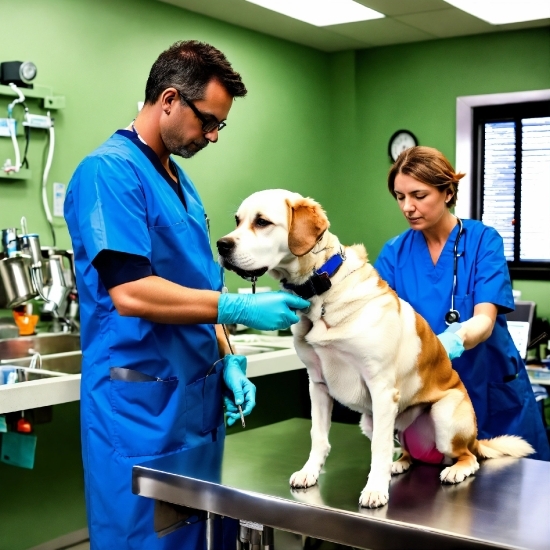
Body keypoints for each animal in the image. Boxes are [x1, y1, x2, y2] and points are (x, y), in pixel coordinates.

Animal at [217, 189, 536, 508]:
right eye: (237, 220)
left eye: (262, 221)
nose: (221, 245)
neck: (323, 290)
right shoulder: (317, 386)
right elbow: (319, 436)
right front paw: (310, 472)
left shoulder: (382, 389)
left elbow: (379, 449)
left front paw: (375, 490)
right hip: (370, 422)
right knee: (406, 452)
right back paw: (399, 464)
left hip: (444, 418)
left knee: (468, 456)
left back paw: (455, 470)